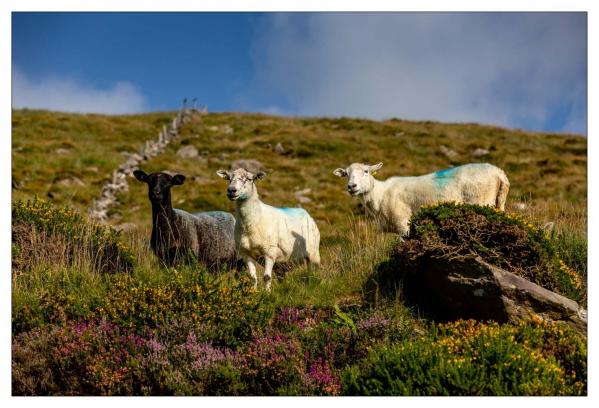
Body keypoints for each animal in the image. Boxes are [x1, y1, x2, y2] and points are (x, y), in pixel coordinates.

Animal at [332, 161, 510, 234]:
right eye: (346, 174)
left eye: (366, 171)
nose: (352, 187)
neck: (380, 195)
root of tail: (499, 173)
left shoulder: (403, 222)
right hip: (498, 202)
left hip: (481, 201)